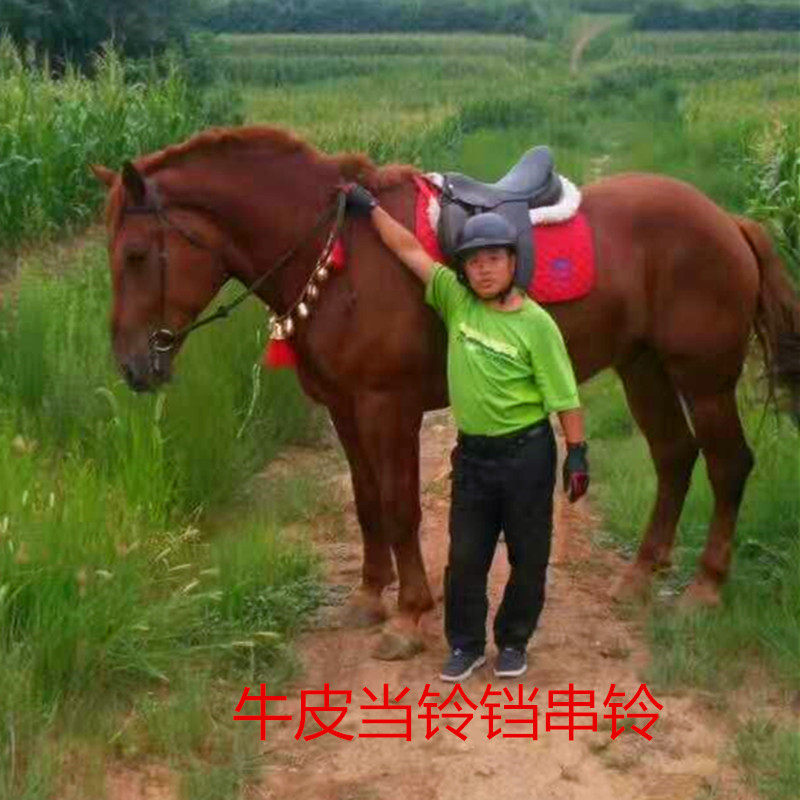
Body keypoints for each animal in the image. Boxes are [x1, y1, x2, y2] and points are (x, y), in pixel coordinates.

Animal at [91, 125, 800, 660]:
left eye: (134, 255)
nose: (132, 365)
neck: (342, 252)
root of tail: (727, 220)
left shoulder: (388, 408)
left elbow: (401, 506)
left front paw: (409, 617)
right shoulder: (346, 410)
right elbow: (366, 502)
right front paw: (368, 597)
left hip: (704, 379)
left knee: (728, 465)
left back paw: (704, 589)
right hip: (644, 368)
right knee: (675, 458)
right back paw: (640, 578)